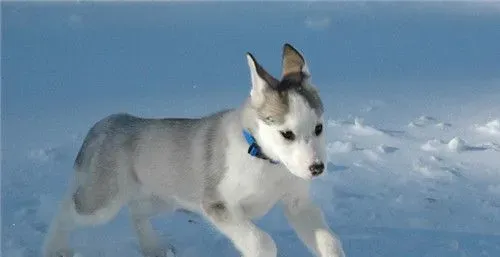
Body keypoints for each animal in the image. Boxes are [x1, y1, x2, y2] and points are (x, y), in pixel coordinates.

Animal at [43, 43, 346, 256]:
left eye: (319, 128)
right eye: (287, 134)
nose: (317, 168)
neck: (263, 159)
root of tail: (105, 122)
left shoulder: (297, 204)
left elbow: (330, 242)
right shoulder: (217, 205)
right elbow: (262, 242)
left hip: (163, 195)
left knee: (136, 211)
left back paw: (153, 248)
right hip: (102, 201)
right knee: (65, 211)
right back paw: (56, 249)